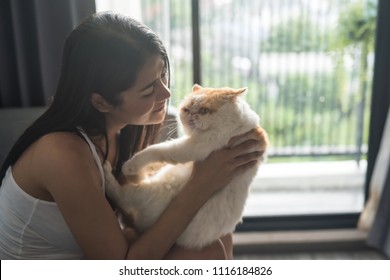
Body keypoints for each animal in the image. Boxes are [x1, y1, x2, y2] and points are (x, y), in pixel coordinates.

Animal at [103, 83, 268, 249]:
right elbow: (156, 160)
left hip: (152, 191)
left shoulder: (192, 147)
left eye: (204, 111)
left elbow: (156, 150)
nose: (191, 115)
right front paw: (137, 172)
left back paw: (107, 173)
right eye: (187, 110)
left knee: (122, 195)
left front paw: (129, 166)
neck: (236, 125)